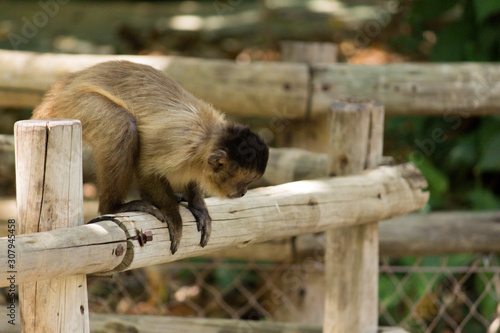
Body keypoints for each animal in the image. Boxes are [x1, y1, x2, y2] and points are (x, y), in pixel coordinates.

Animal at [32, 61, 270, 253]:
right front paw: (174, 215)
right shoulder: (180, 146)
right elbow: (146, 170)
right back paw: (114, 207)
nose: (242, 192)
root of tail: (65, 84)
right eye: (244, 182)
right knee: (122, 123)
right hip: (77, 104)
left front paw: (197, 205)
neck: (206, 137)